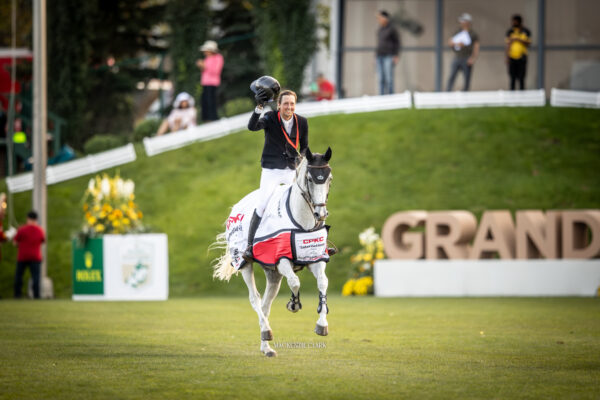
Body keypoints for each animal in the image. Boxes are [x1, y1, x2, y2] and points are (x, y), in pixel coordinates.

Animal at [212, 147, 332, 356]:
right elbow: (295, 281)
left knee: (265, 305)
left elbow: (322, 283)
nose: (321, 214)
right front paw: (294, 304)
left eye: (329, 179)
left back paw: (266, 346)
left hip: (272, 274)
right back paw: (267, 332)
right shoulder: (281, 260)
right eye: (309, 179)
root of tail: (235, 209)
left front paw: (322, 325)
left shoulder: (315, 258)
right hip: (245, 264)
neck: (301, 220)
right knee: (255, 299)